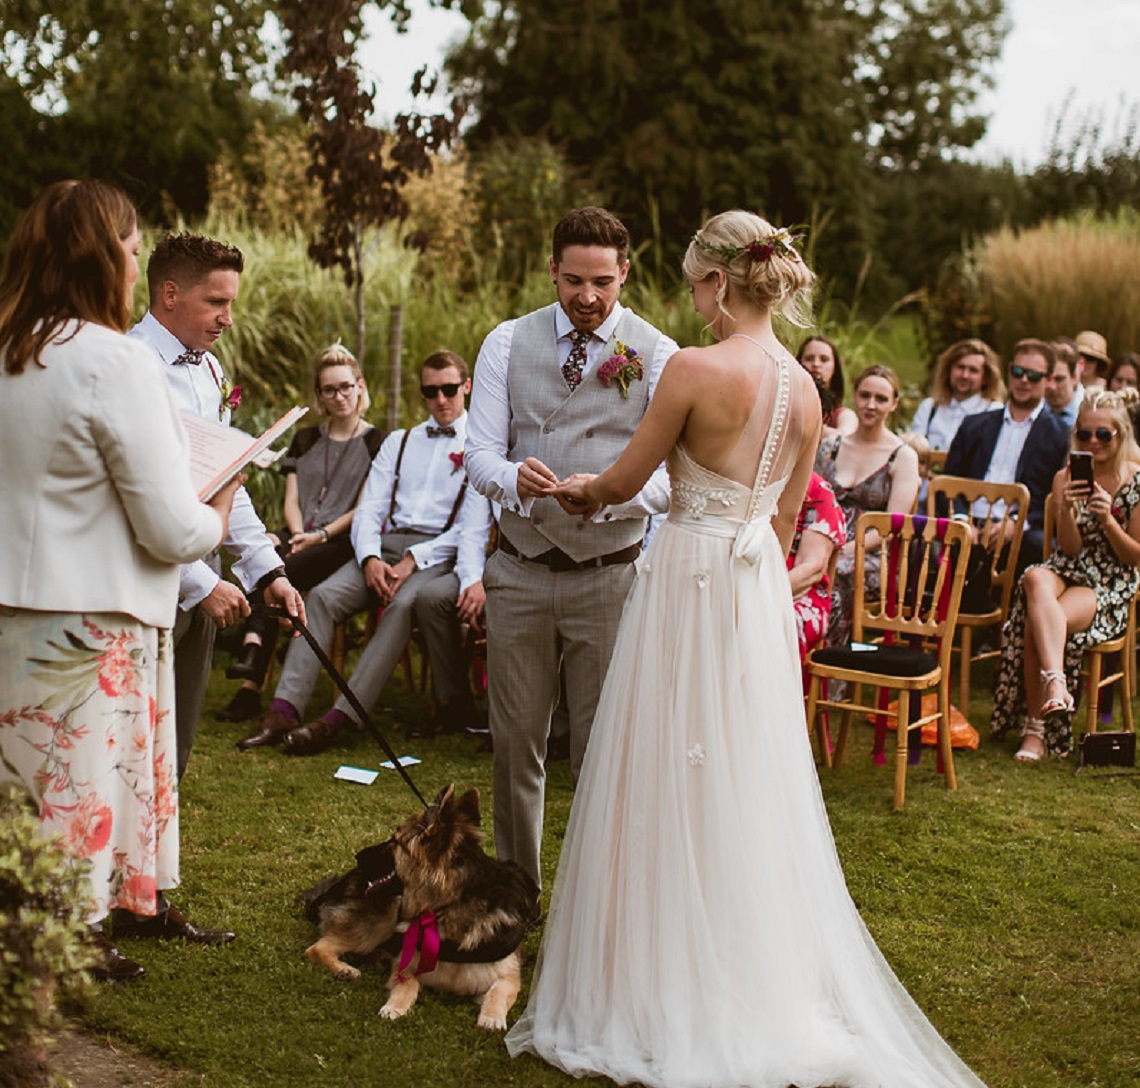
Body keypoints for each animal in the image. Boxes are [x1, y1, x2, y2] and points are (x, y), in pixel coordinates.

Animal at [298, 784, 538, 1030]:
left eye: (395, 842)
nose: (357, 855)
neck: (447, 907)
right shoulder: (406, 967)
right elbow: (406, 984)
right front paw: (394, 1007)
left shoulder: (508, 975)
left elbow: (498, 991)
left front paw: (491, 1018)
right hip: (382, 917)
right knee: (316, 948)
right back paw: (344, 969)